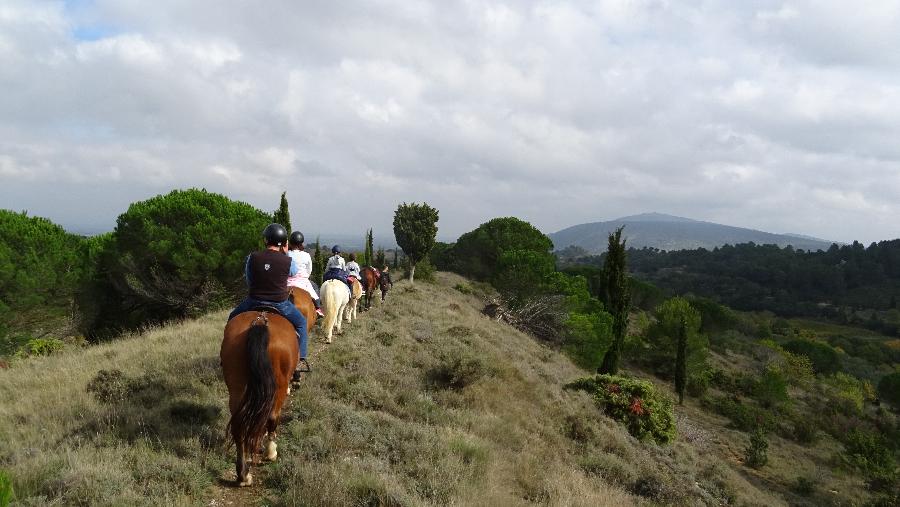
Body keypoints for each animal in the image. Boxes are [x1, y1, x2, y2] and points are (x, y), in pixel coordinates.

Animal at [221, 312, 298, 486]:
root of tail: (260, 322)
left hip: (236, 386)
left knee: (239, 427)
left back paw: (243, 475)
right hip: (278, 385)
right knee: (272, 417)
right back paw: (270, 452)